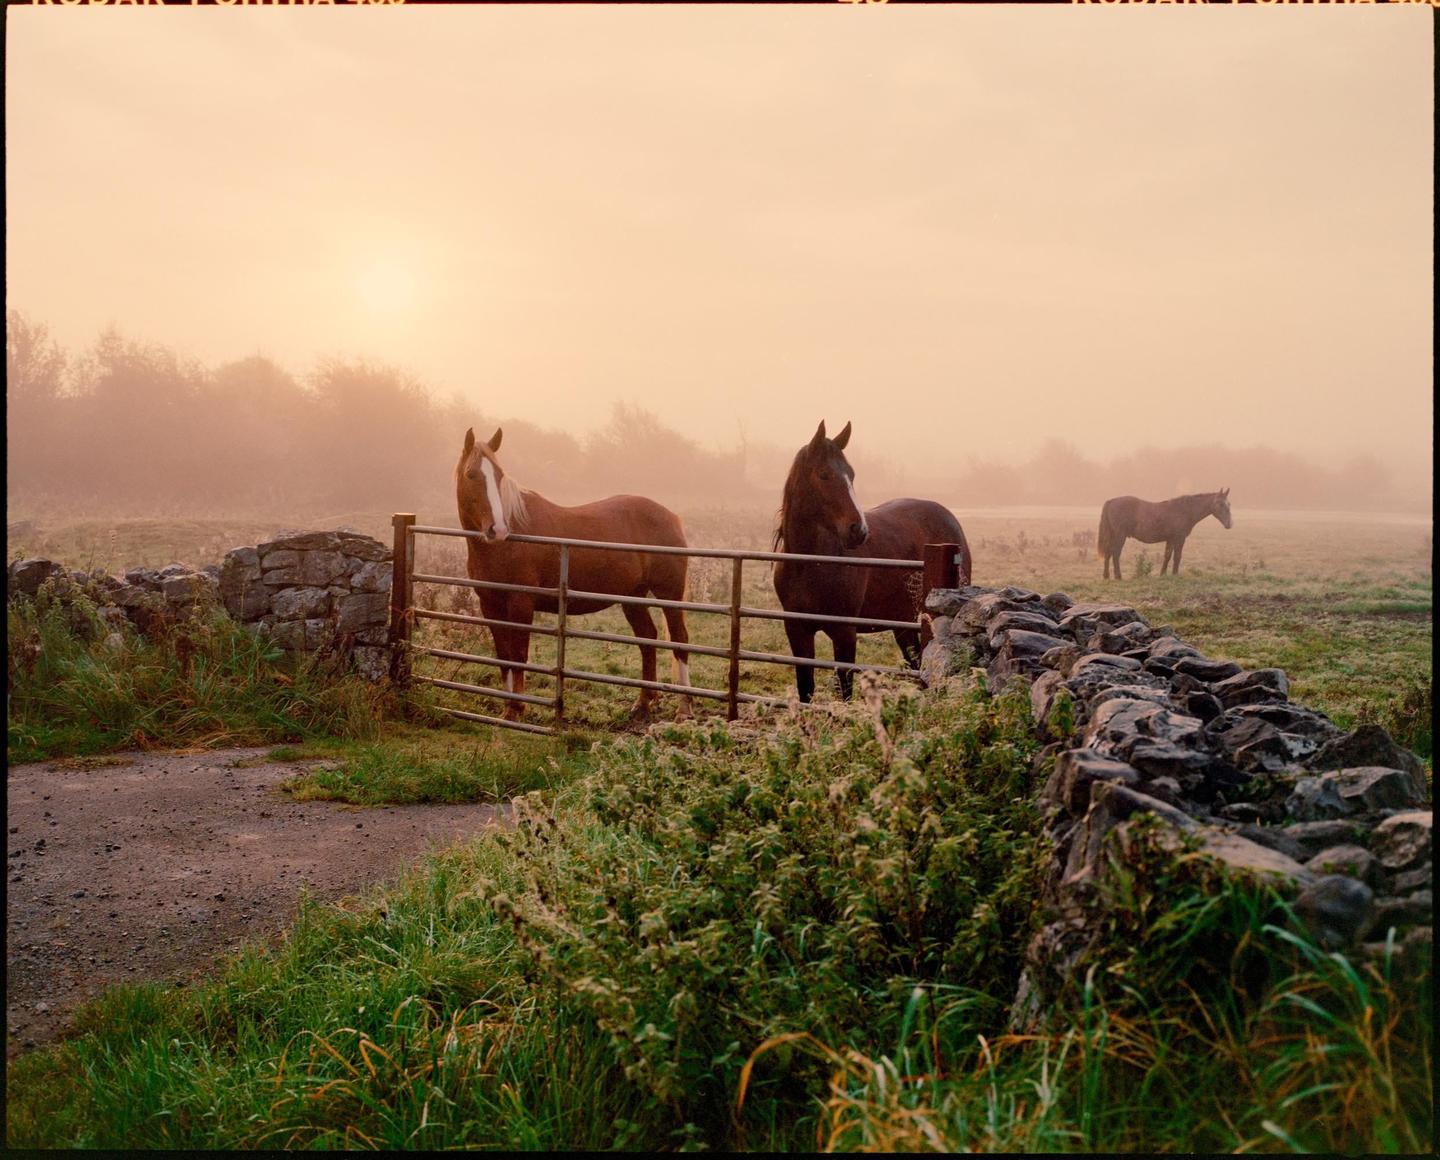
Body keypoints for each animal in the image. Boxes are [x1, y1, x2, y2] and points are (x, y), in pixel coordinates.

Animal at [454, 427, 691, 720]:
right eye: (471, 474)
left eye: (499, 475)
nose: (497, 530)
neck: (506, 544)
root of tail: (671, 516)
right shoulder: (490, 605)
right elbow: (504, 656)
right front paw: (508, 709)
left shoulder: (521, 604)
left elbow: (518, 655)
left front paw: (517, 709)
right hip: (633, 597)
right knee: (647, 638)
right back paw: (643, 703)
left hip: (669, 594)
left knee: (680, 640)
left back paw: (684, 710)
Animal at [772, 420, 970, 703]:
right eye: (824, 474)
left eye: (852, 475)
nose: (859, 530)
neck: (810, 564)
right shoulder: (797, 632)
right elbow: (805, 691)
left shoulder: (845, 634)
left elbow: (845, 691)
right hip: (904, 625)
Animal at [1097, 489, 1231, 579]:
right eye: (1220, 504)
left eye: (1229, 504)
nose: (1229, 524)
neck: (1184, 510)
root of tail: (1111, 501)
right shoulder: (1179, 538)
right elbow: (1177, 557)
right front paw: (1175, 574)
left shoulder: (1170, 539)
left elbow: (1167, 556)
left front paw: (1163, 574)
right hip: (1120, 535)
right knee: (1115, 554)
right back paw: (1118, 576)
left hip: (1113, 535)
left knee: (1108, 553)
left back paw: (1106, 576)